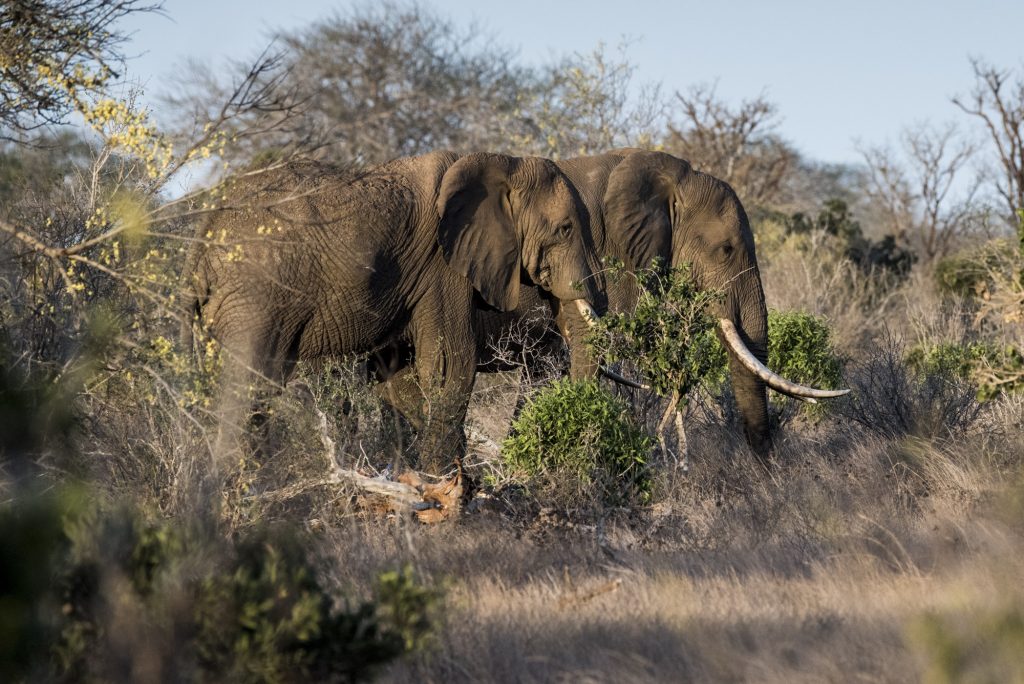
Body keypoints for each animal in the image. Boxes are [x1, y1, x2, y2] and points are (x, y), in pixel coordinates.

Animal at [181, 150, 604, 472]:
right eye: (565, 228)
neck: (501, 163)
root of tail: (201, 240)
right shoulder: (442, 266)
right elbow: (449, 367)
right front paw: (448, 488)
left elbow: (400, 376)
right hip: (256, 291)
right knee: (246, 389)